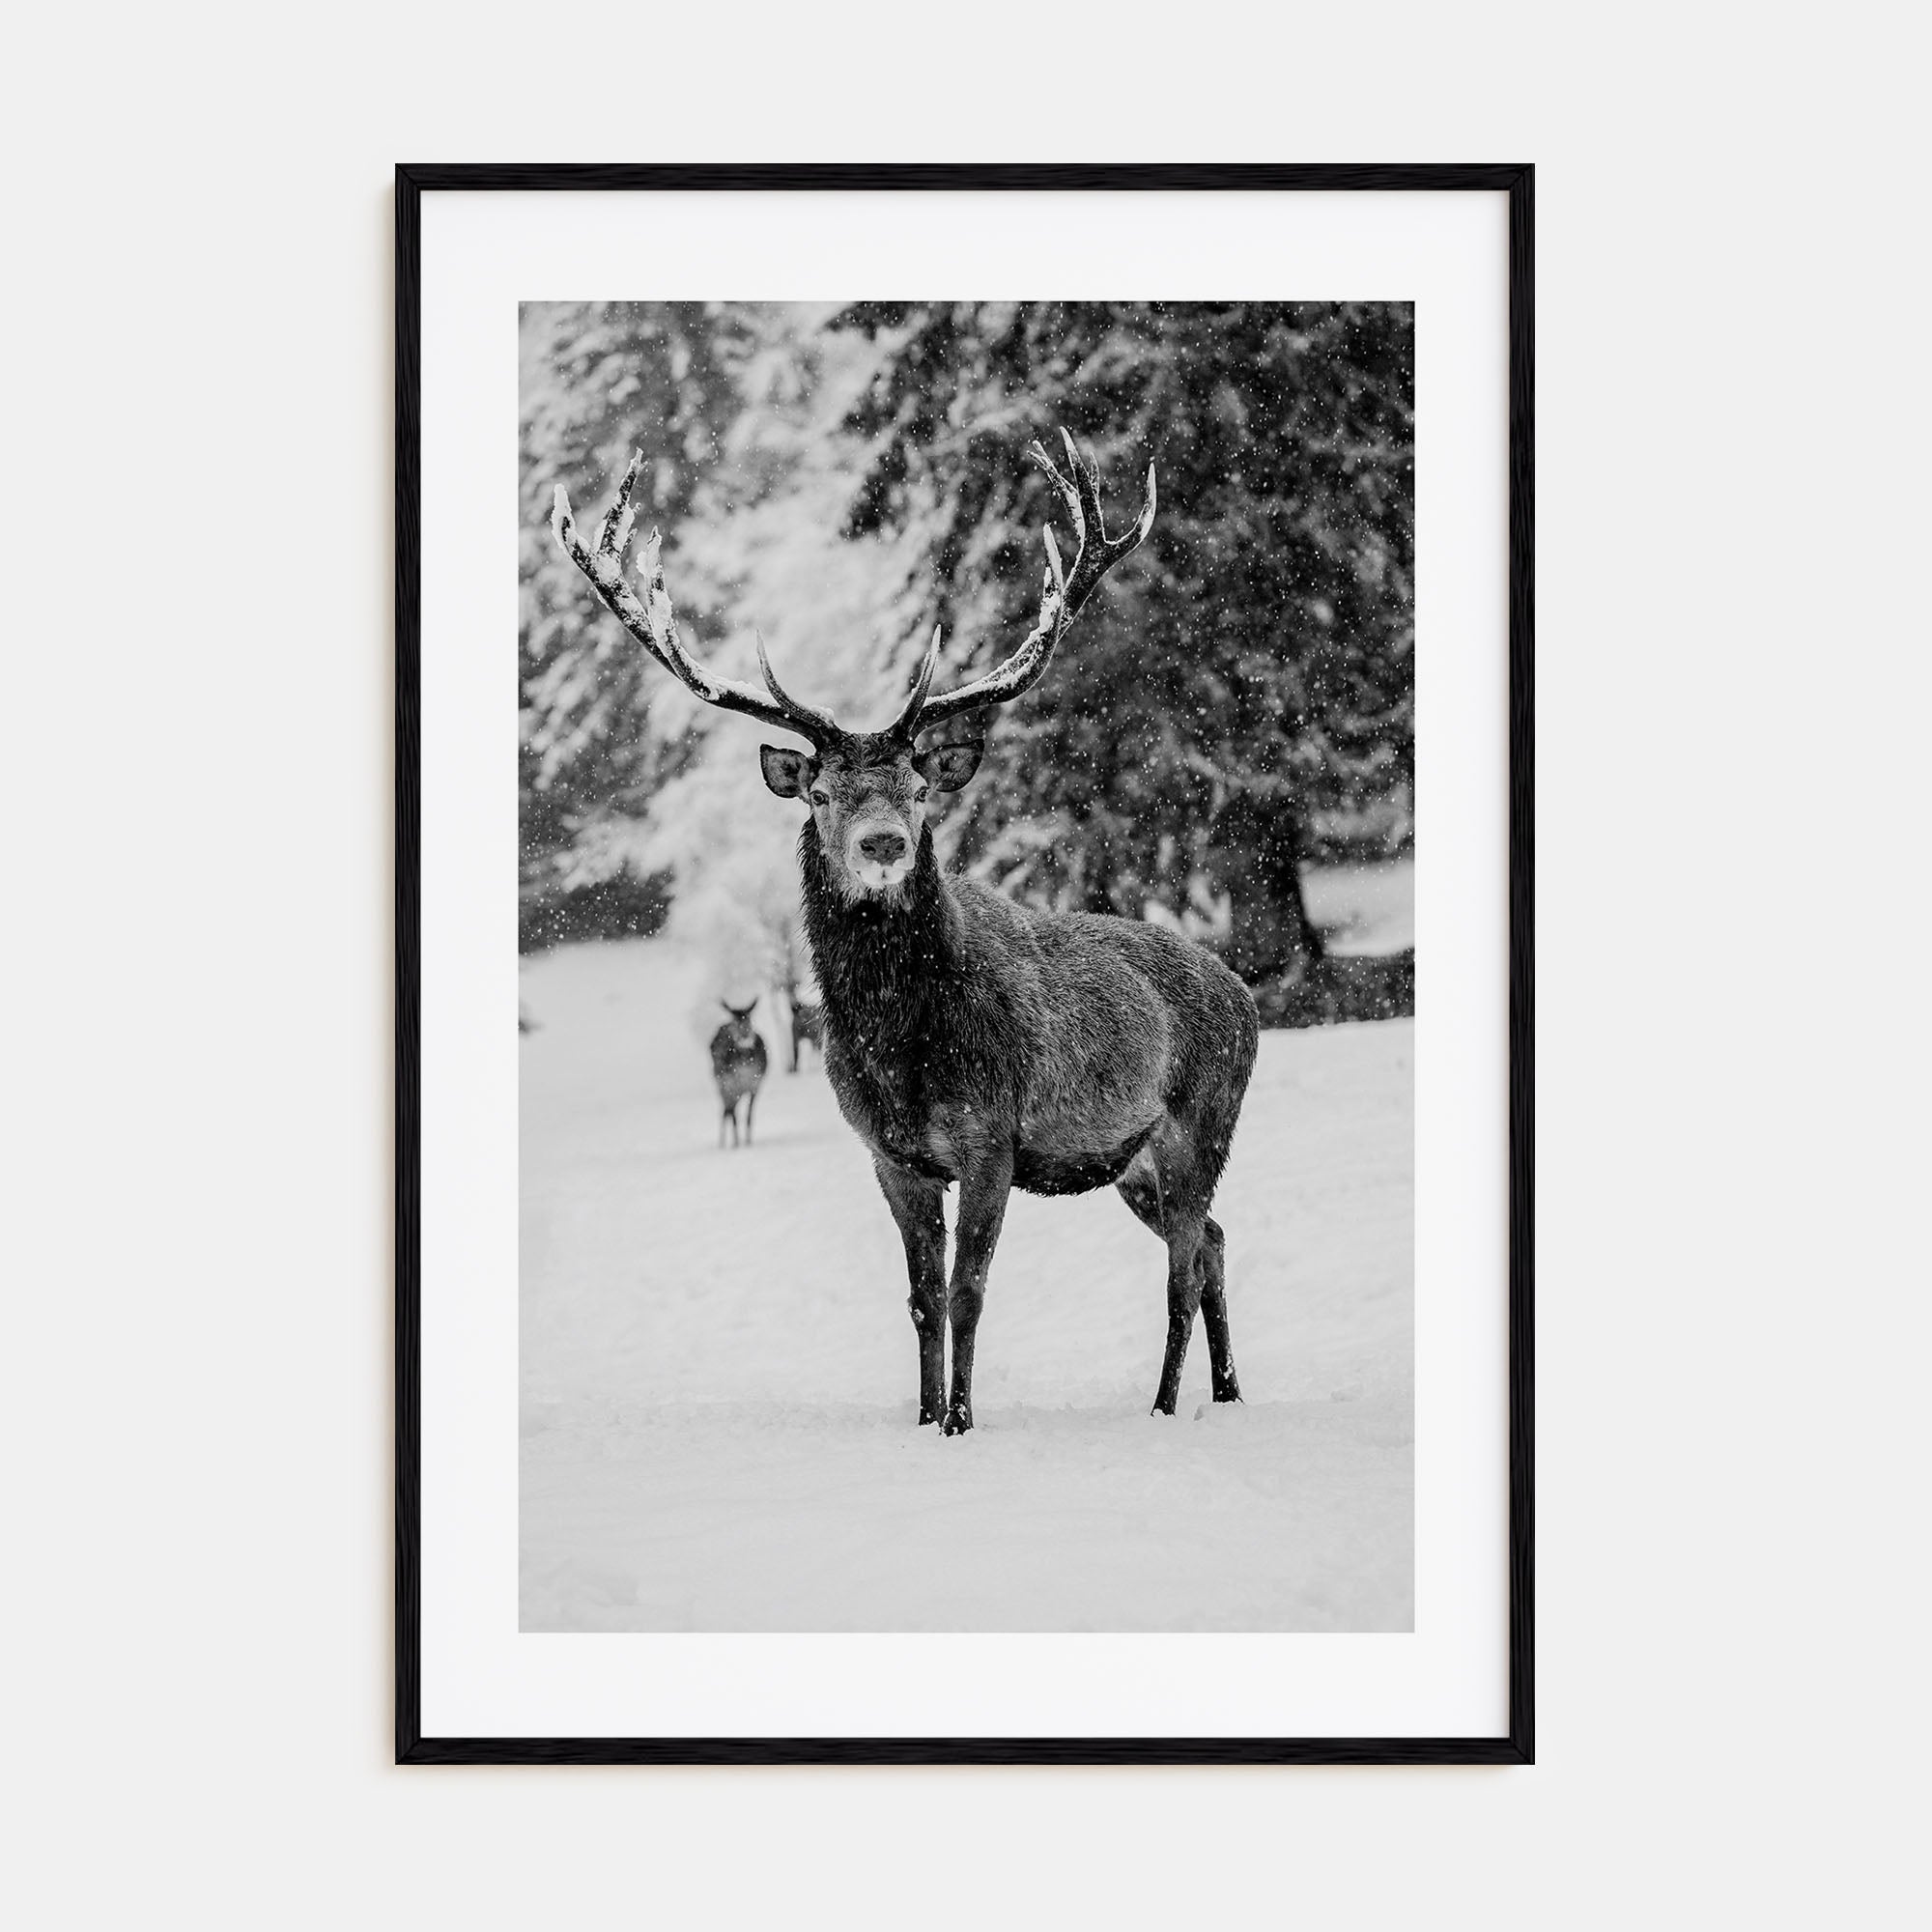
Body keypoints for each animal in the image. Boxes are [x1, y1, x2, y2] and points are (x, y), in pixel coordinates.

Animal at [708, 999, 768, 1148]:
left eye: (749, 1019)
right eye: (734, 1021)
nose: (744, 1034)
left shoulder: (755, 1085)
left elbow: (748, 1116)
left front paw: (748, 1142)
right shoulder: (730, 1085)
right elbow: (734, 1115)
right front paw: (736, 1144)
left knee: (728, 1109)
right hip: (721, 1083)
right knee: (726, 1110)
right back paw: (722, 1143)